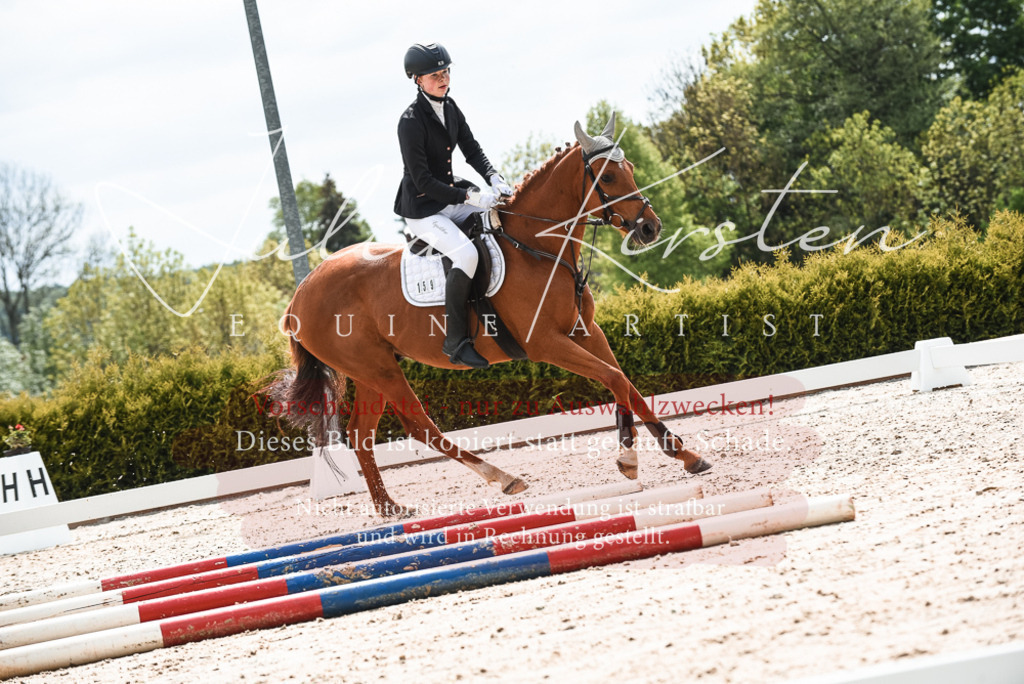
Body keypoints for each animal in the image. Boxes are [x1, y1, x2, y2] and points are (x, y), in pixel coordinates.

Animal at [266, 115, 711, 516]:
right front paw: (628, 460)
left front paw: (684, 455)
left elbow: (626, 384)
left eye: (631, 168)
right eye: (610, 176)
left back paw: (390, 507)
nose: (651, 228)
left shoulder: (585, 332)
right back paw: (503, 478)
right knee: (420, 426)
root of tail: (300, 295)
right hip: (378, 369)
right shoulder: (547, 343)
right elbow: (614, 379)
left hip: (369, 371)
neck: (539, 247)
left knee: (361, 434)